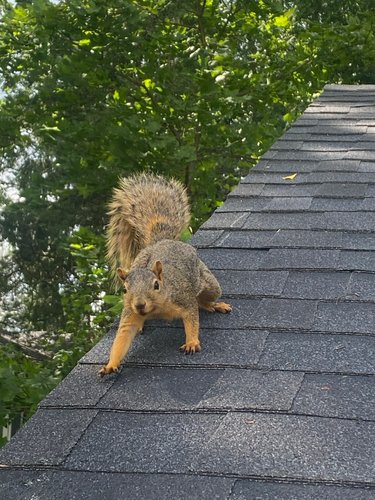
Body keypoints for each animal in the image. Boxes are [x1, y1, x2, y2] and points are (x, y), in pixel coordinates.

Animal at [98, 172, 231, 376]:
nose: (139, 305)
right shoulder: (129, 314)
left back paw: (214, 305)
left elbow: (192, 318)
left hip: (208, 282)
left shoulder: (183, 297)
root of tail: (163, 240)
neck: (156, 309)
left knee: (205, 298)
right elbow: (122, 338)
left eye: (156, 285)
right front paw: (111, 364)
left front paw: (191, 342)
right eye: (125, 290)